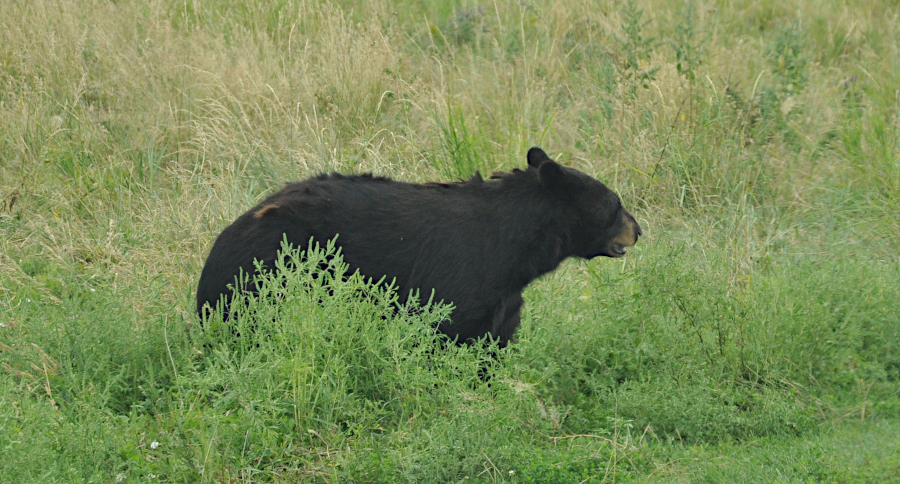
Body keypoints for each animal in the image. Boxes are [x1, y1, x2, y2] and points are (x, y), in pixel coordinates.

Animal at [196, 147, 641, 347]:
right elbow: (446, 329)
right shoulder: (464, 273)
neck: (517, 243)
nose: (638, 230)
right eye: (615, 204)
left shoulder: (504, 294)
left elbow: (495, 339)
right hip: (263, 277)